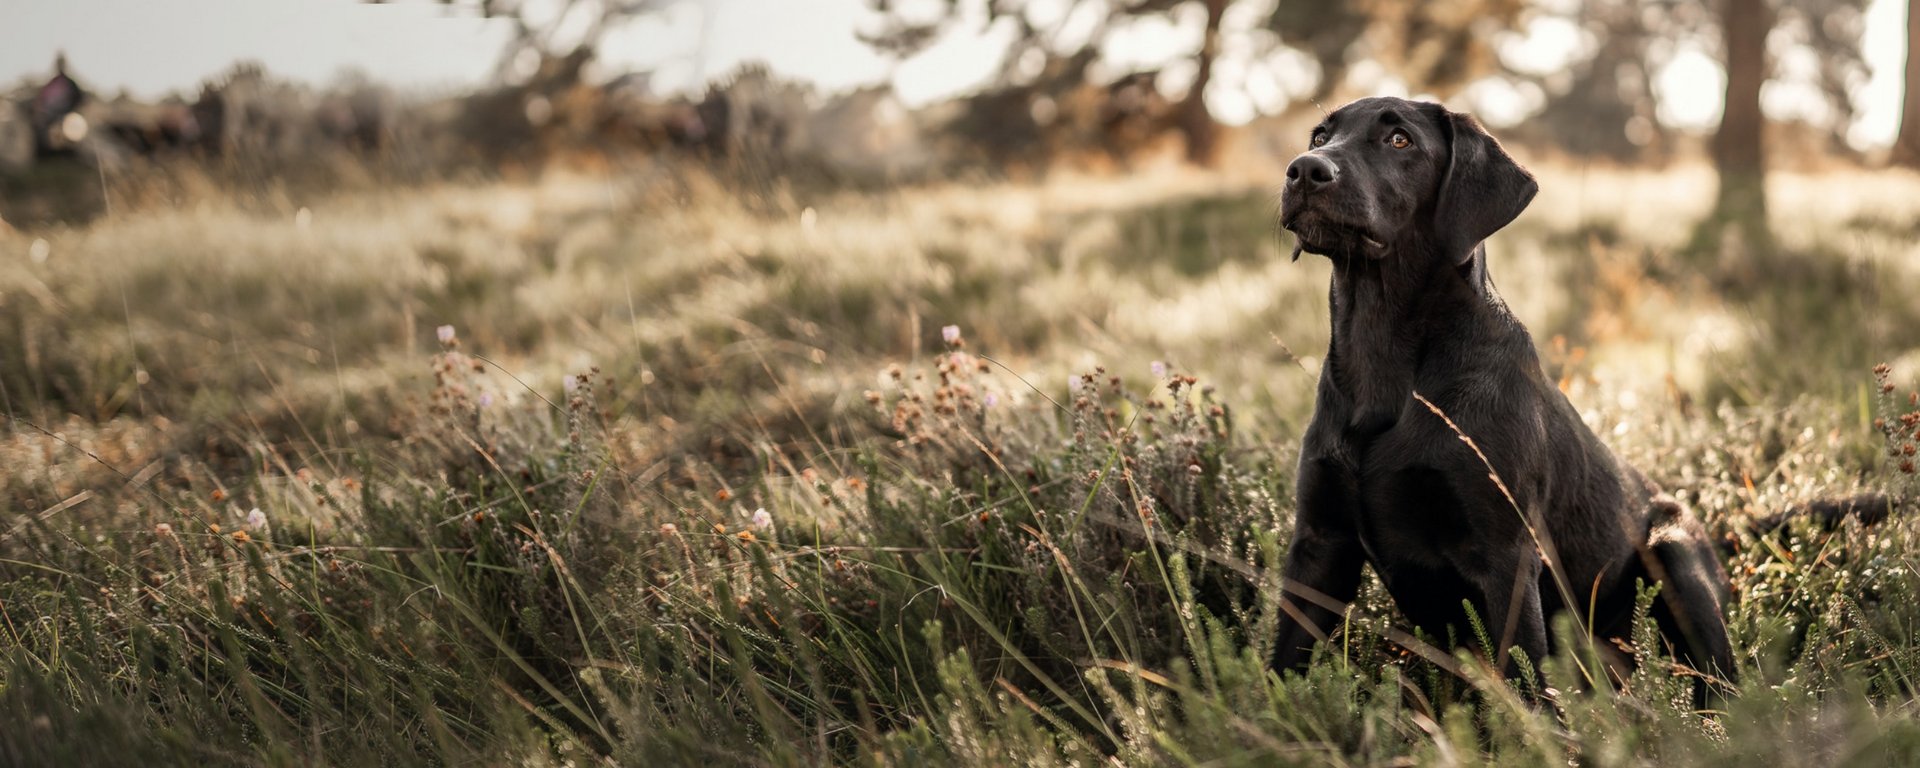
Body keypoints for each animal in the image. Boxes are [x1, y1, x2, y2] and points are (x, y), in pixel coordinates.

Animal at [1274, 96, 1743, 702]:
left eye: (1400, 140)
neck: (1382, 358)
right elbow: (1280, 663)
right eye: (1320, 134)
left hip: (1675, 553)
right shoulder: (1318, 544)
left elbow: (1527, 679)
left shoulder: (1505, 555)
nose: (1305, 169)